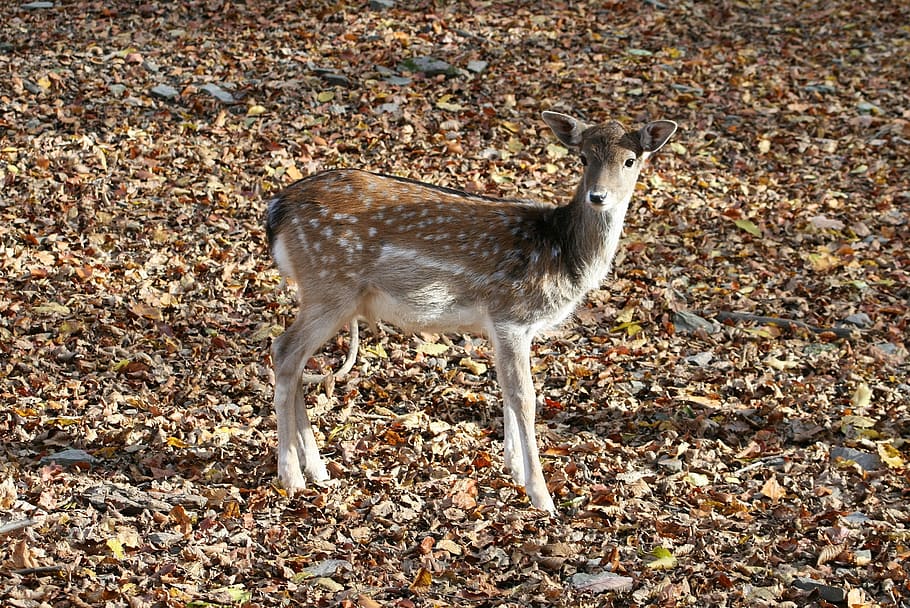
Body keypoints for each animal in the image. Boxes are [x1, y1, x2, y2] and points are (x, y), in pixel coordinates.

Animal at [265, 111, 677, 513]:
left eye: (630, 160)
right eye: (583, 158)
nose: (598, 196)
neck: (563, 255)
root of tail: (277, 210)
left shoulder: (503, 326)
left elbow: (506, 391)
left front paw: (514, 470)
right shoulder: (512, 313)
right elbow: (526, 398)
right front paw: (542, 497)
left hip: (329, 294)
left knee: (295, 360)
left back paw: (317, 469)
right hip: (329, 285)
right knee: (283, 351)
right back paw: (292, 476)